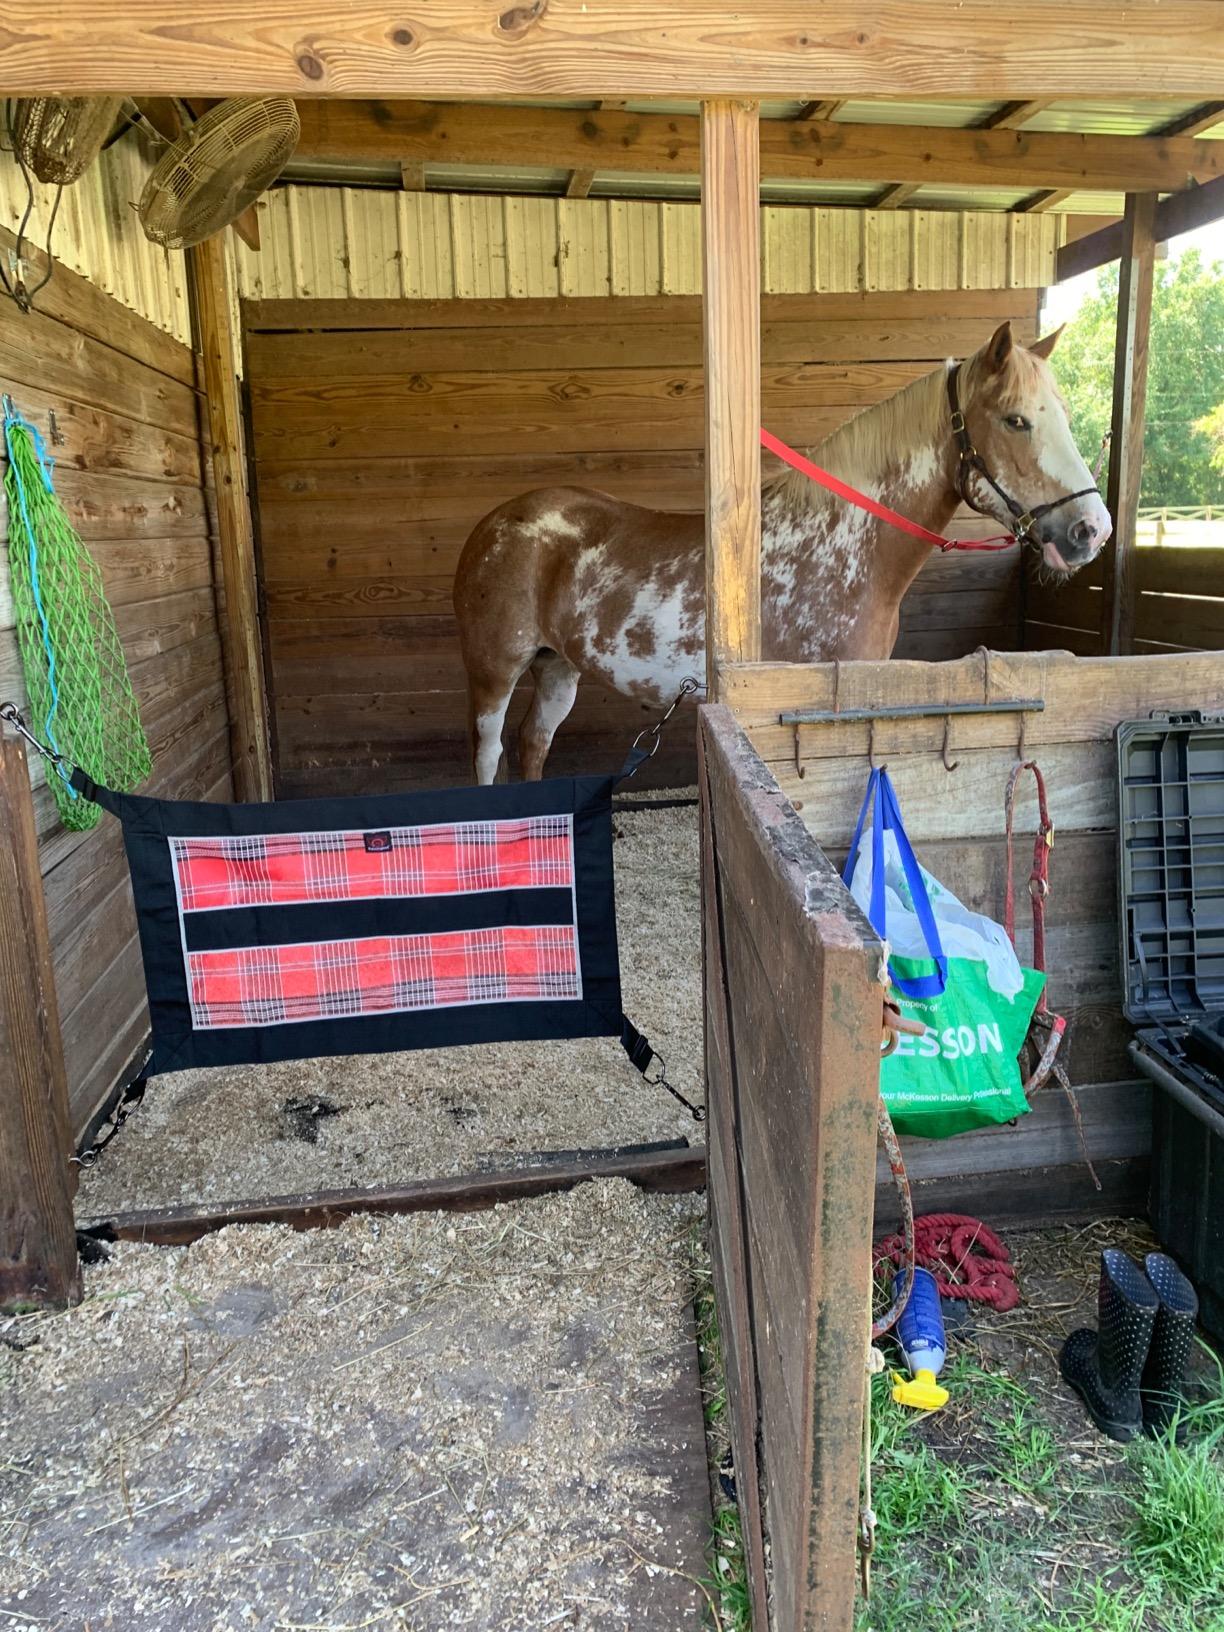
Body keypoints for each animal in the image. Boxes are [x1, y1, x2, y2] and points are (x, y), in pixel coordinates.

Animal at [453, 321, 1111, 784]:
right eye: (1016, 420)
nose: (1092, 530)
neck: (845, 551)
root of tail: (493, 524)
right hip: (494, 672)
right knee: (488, 756)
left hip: (557, 667)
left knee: (532, 746)